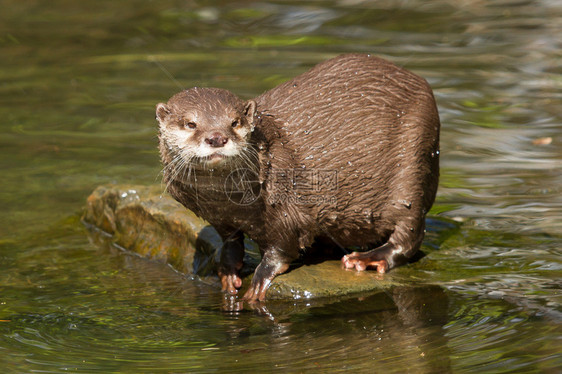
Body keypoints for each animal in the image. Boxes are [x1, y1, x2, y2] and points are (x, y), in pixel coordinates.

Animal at [155, 54, 440, 302]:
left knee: (410, 233)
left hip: (414, 163)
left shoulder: (287, 204)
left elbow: (283, 246)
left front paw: (261, 278)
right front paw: (227, 269)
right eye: (190, 123)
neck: (228, 202)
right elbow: (230, 240)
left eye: (234, 122)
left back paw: (366, 258)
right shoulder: (218, 217)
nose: (216, 137)